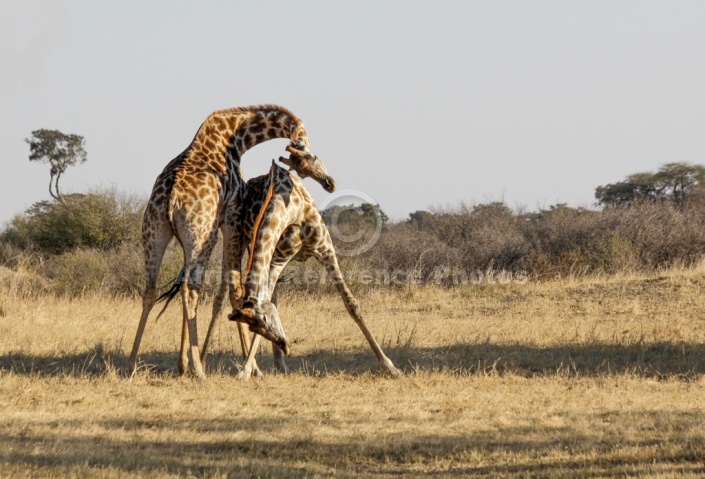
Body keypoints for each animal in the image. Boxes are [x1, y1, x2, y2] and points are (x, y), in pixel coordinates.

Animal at [130, 104, 338, 378]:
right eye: (306, 159)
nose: (329, 183)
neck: (235, 139)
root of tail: (171, 197)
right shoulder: (231, 219)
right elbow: (236, 289)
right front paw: (253, 369)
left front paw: (182, 364)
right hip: (202, 235)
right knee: (191, 289)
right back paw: (199, 371)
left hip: (153, 232)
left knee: (151, 289)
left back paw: (132, 365)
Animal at [224, 161, 402, 378]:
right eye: (254, 328)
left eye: (266, 320)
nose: (286, 345)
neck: (291, 210)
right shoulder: (277, 259)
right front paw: (245, 370)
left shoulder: (325, 248)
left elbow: (352, 305)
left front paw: (389, 366)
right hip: (238, 239)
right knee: (239, 291)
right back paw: (263, 367)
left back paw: (279, 365)